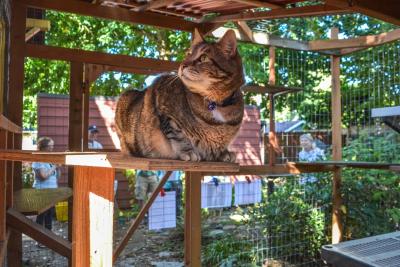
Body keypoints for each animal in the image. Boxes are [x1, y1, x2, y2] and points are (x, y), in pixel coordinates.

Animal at [115, 29, 244, 163]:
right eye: (188, 54)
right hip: (125, 98)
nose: (183, 65)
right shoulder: (164, 107)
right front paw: (188, 151)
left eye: (203, 57)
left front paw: (224, 153)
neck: (215, 102)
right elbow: (178, 135)